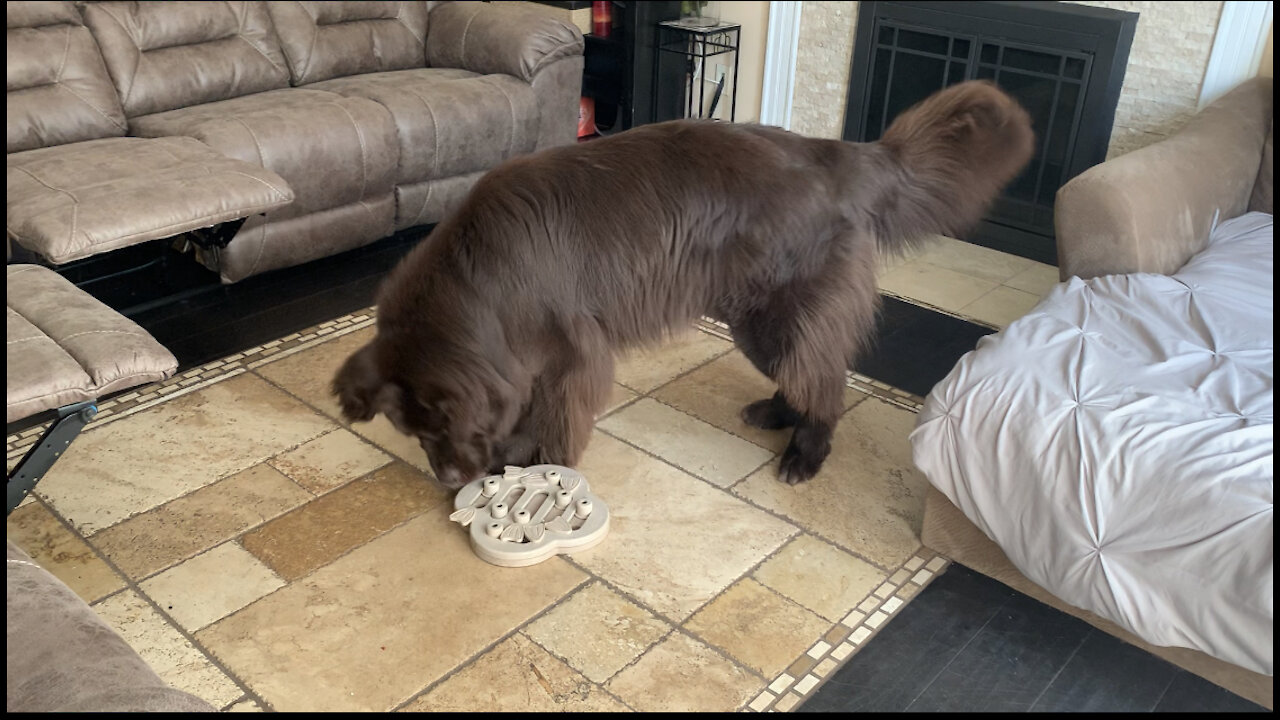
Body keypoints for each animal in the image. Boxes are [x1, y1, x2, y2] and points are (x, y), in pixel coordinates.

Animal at [335, 81, 1034, 489]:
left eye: (438, 425)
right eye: (414, 434)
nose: (450, 481)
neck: (478, 279)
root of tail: (838, 153)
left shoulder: (570, 357)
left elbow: (552, 419)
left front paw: (541, 468)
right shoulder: (522, 361)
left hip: (778, 316)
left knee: (826, 379)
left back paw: (805, 455)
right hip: (753, 320)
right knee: (811, 371)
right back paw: (777, 414)